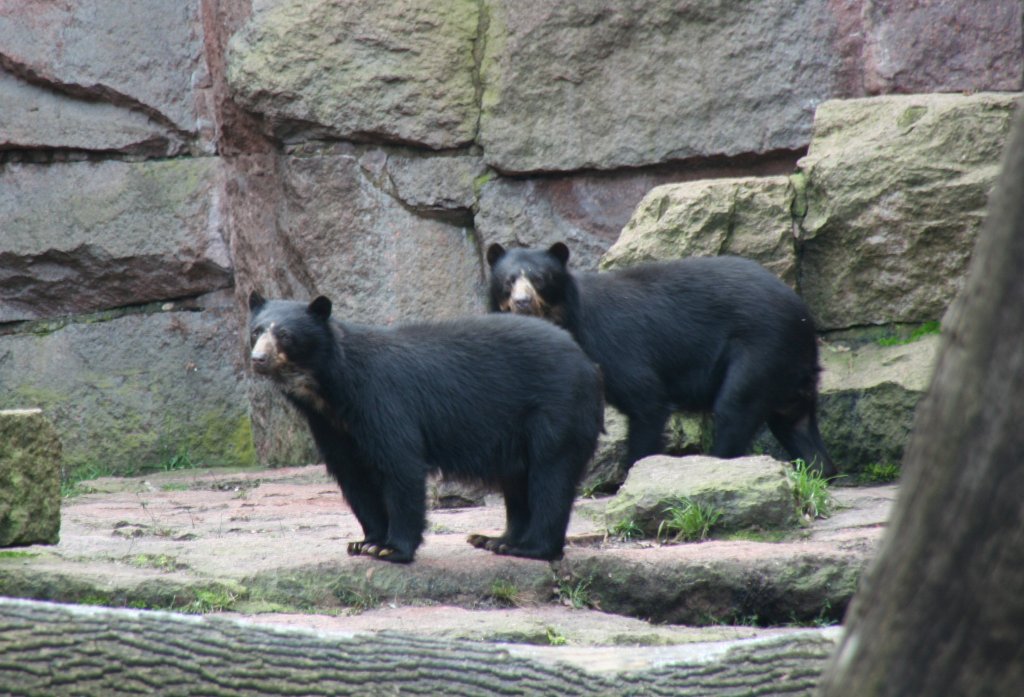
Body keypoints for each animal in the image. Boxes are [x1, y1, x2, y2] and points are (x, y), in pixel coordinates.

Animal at [244, 290, 602, 560]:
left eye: (285, 335)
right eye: (256, 331)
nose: (258, 359)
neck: (328, 390)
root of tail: (586, 361)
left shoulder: (381, 400)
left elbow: (400, 463)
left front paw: (391, 549)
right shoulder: (331, 426)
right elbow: (353, 478)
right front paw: (365, 542)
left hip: (556, 409)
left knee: (550, 472)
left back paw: (529, 548)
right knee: (517, 480)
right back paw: (497, 539)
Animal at [489, 240, 839, 478]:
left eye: (539, 278)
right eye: (508, 281)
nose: (522, 302)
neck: (565, 317)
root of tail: (803, 315)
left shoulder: (616, 346)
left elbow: (647, 402)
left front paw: (632, 475)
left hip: (759, 349)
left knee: (735, 406)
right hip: (789, 371)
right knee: (795, 421)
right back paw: (820, 470)